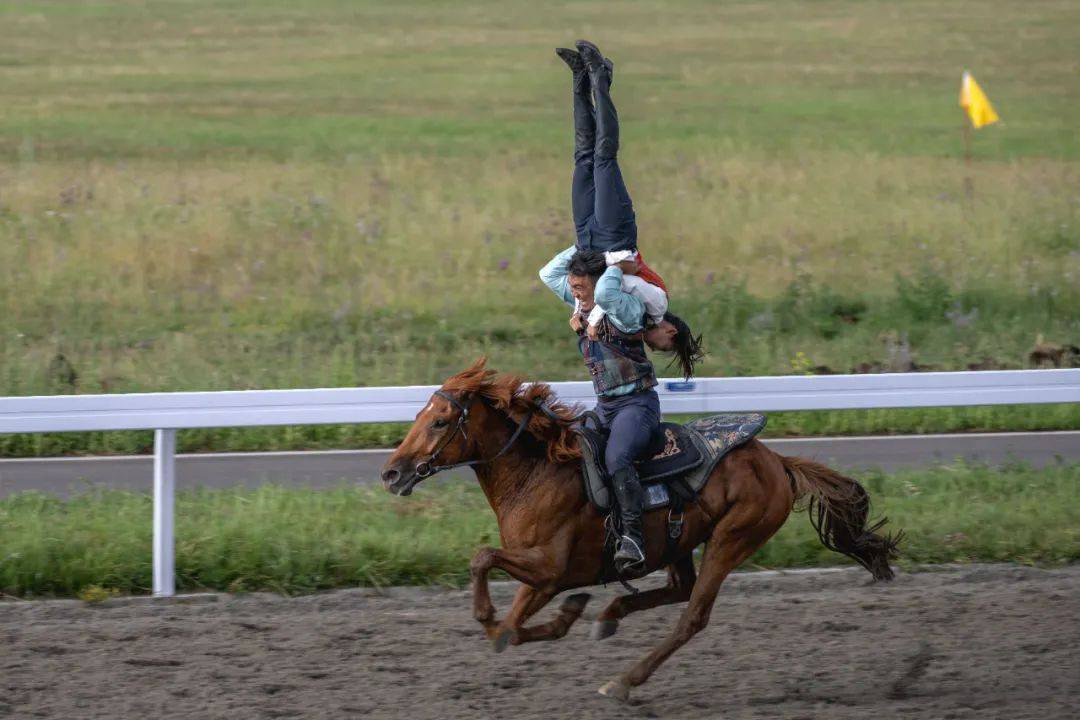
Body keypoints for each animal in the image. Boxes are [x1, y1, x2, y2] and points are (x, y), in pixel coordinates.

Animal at [382, 360, 902, 703]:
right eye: (418, 416)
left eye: (441, 420)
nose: (392, 473)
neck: (537, 472)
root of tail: (777, 461)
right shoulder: (544, 578)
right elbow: (510, 621)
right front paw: (563, 615)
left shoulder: (548, 568)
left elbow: (485, 566)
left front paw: (498, 615)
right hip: (680, 542)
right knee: (678, 589)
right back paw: (611, 613)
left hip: (732, 538)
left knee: (692, 614)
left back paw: (624, 680)